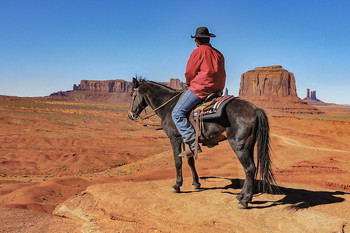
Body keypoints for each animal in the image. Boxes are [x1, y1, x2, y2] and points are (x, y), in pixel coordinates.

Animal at [127, 78, 278, 208]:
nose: (130, 115)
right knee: (251, 169)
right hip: (249, 145)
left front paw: (177, 186)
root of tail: (255, 109)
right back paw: (241, 195)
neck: (169, 106)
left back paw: (245, 200)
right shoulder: (186, 139)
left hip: (239, 145)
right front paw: (196, 182)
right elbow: (190, 160)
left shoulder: (175, 137)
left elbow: (178, 162)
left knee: (249, 168)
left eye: (132, 94)